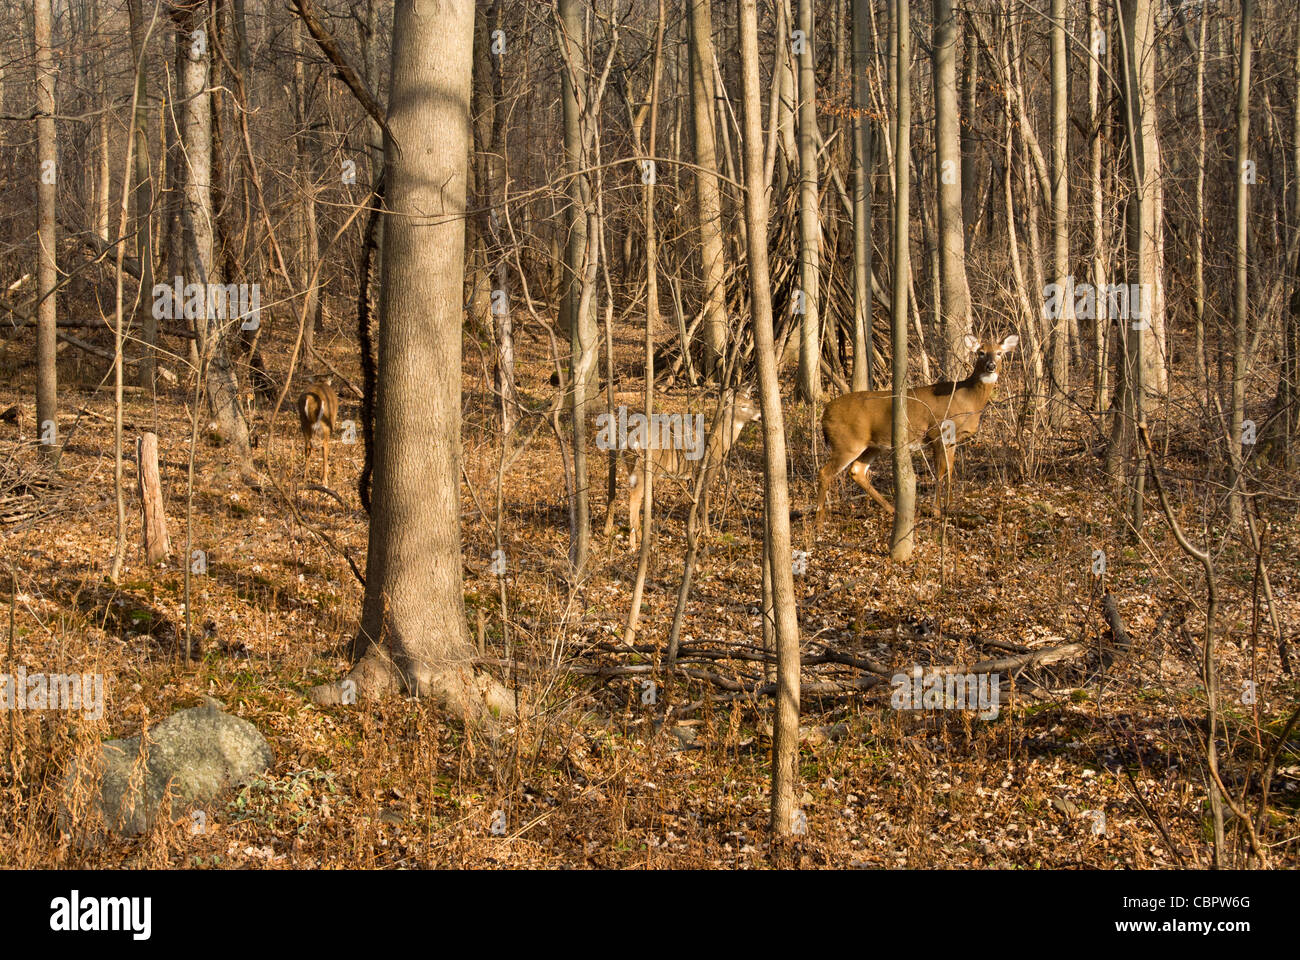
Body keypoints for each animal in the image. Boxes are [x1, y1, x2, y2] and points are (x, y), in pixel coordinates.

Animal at [612, 388, 762, 552]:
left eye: (752, 402)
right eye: (743, 406)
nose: (759, 415)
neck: (721, 442)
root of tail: (631, 441)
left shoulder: (692, 476)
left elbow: (695, 502)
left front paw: (695, 529)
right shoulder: (708, 469)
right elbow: (704, 500)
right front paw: (707, 532)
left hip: (631, 467)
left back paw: (637, 538)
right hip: (650, 468)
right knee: (635, 496)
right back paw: (635, 544)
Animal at [813, 333, 1018, 527]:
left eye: (999, 353)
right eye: (981, 352)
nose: (991, 366)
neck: (967, 399)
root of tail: (825, 414)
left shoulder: (952, 440)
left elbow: (951, 470)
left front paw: (950, 506)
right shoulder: (937, 433)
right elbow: (940, 471)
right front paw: (937, 510)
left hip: (872, 446)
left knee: (857, 471)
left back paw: (893, 510)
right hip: (847, 442)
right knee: (825, 472)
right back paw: (819, 520)